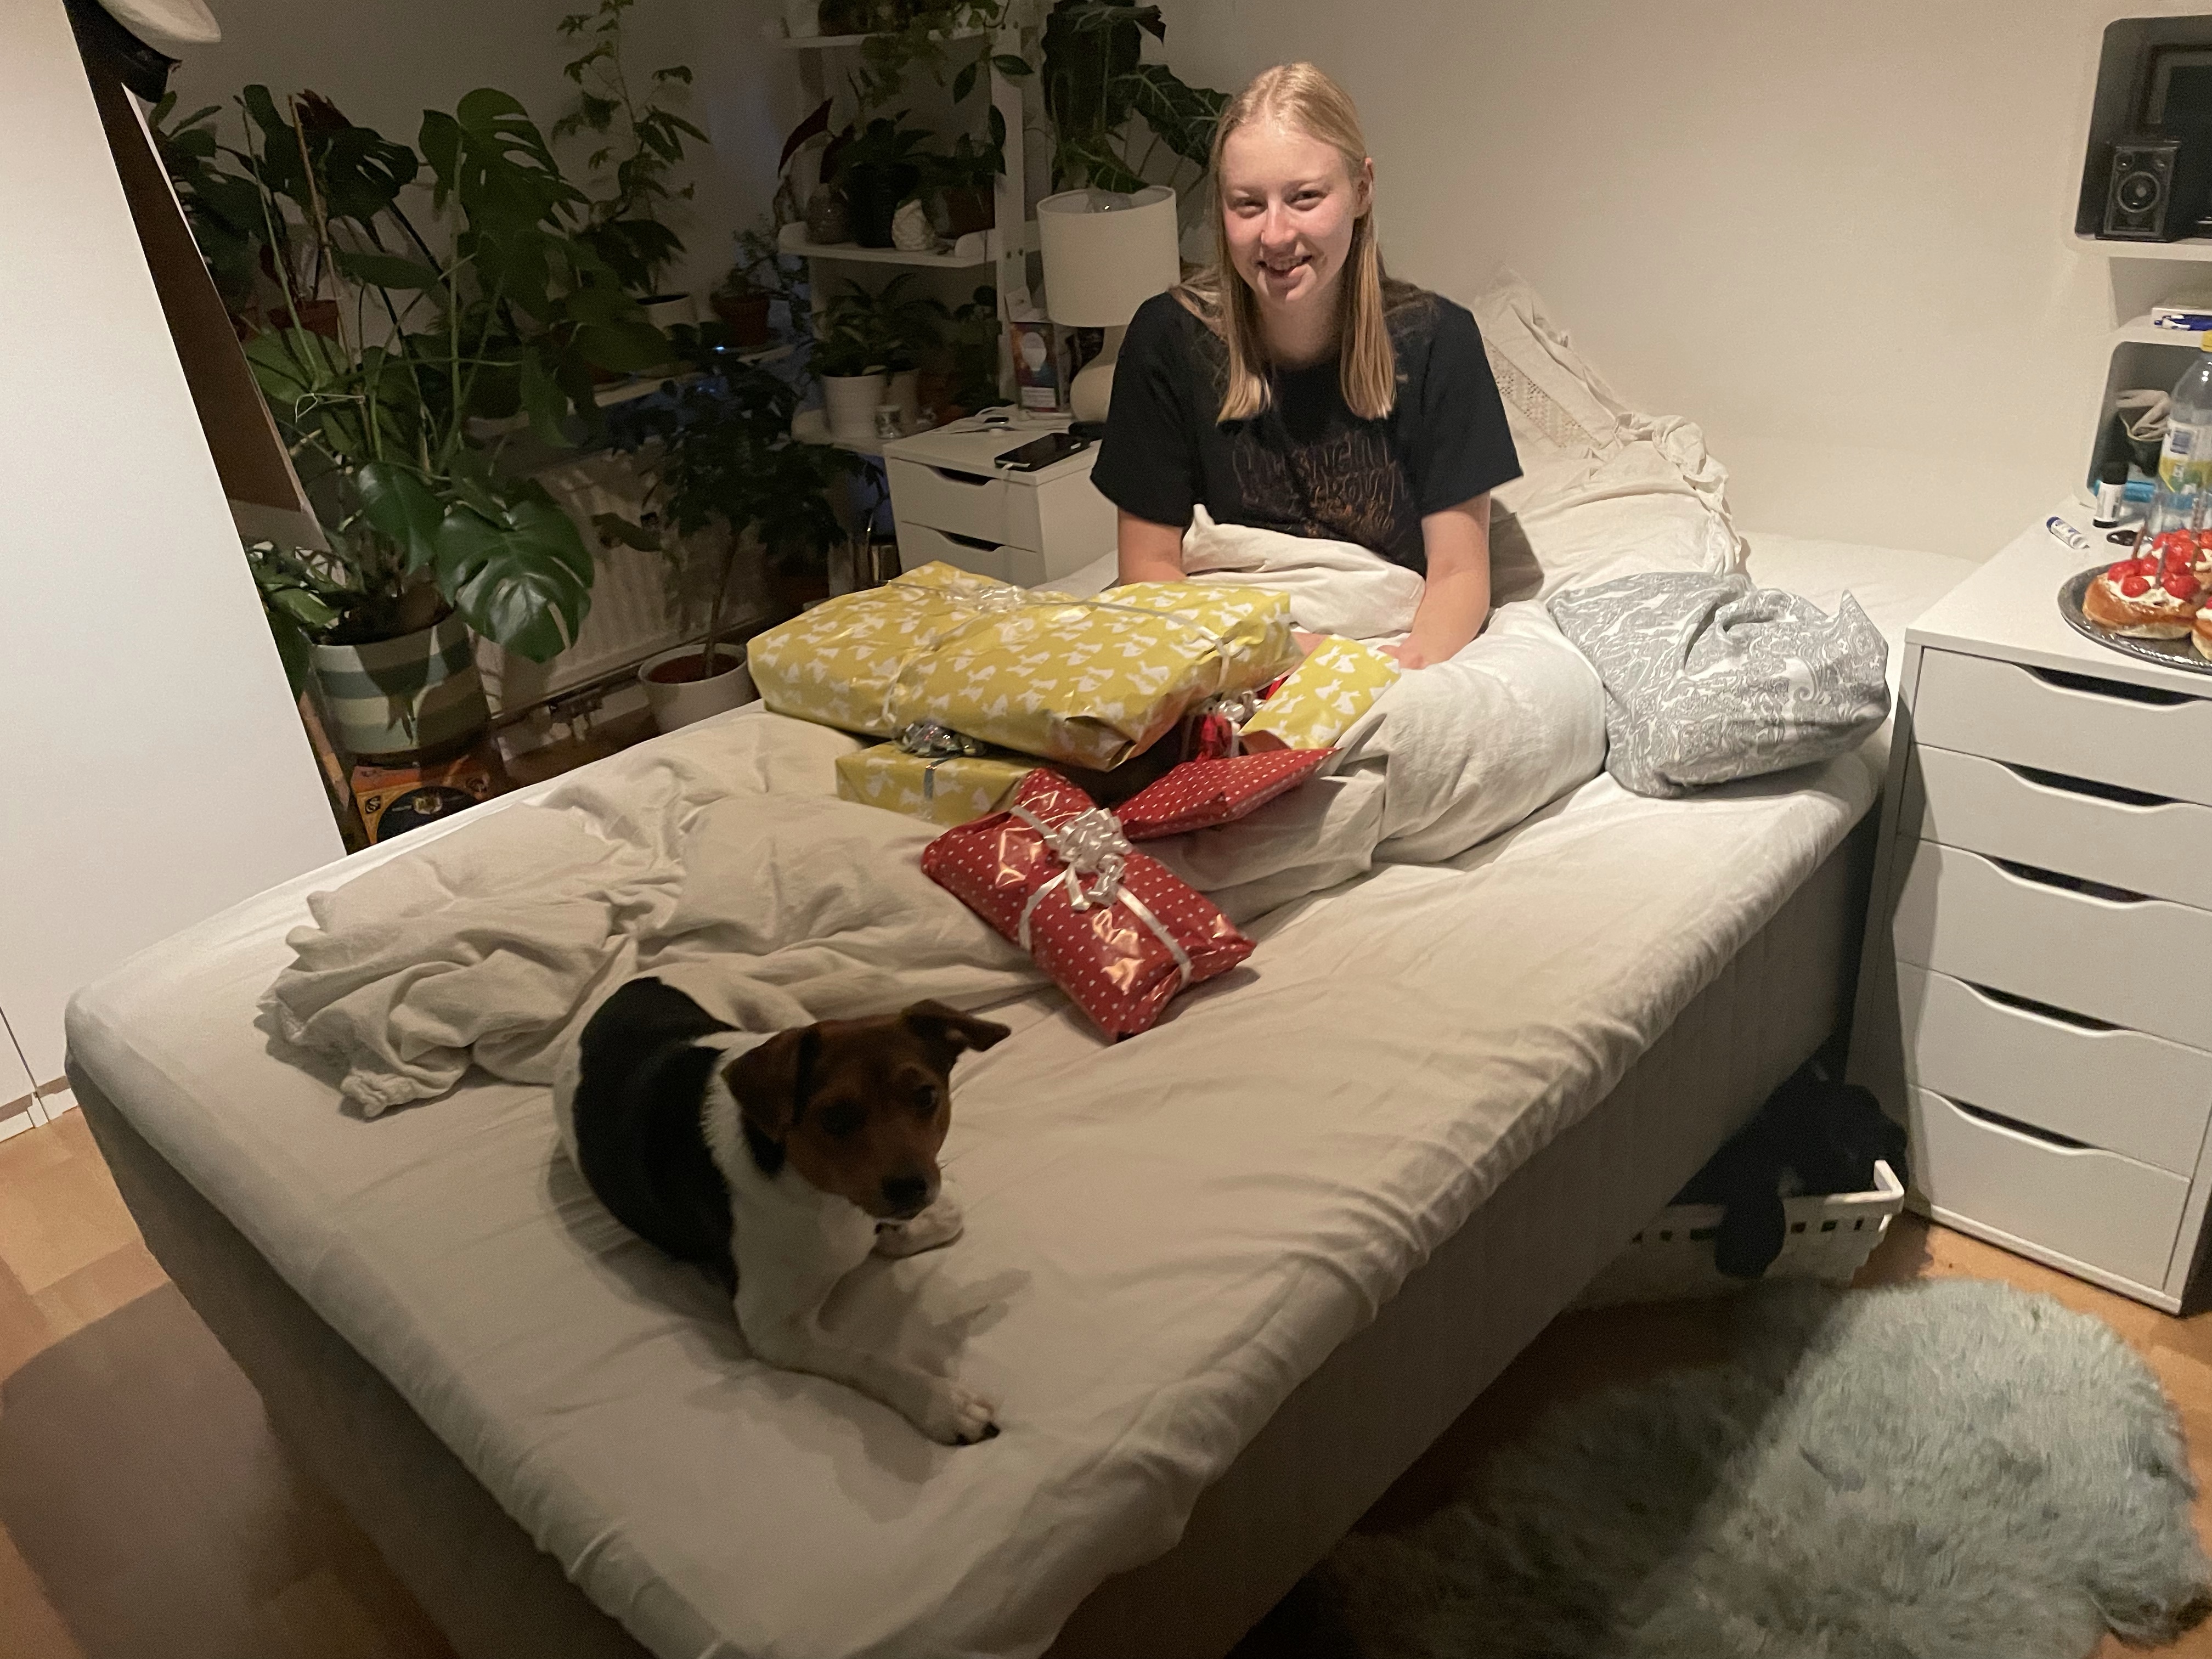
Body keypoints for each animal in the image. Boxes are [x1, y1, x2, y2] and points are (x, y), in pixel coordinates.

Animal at [556, 976, 1010, 1445]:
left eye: (925, 1095)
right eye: (835, 1117)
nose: (910, 1189)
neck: (809, 1184)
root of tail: (635, 980)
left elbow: (945, 1213)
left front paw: (894, 1235)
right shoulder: (774, 1330)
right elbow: (866, 1357)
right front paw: (939, 1401)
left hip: (784, 1015)